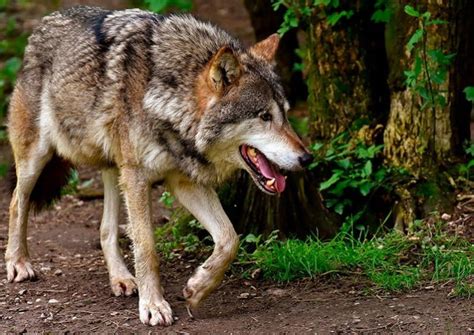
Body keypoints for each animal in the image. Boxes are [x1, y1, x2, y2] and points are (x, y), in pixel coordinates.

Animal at [6, 6, 312, 326]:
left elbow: (230, 239)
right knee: (17, 202)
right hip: (37, 158)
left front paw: (197, 289)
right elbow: (147, 247)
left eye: (286, 115)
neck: (169, 100)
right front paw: (153, 305)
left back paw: (121, 279)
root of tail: (45, 21)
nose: (307, 158)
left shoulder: (184, 181)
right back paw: (18, 263)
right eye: (264, 116)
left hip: (114, 169)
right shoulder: (139, 177)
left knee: (106, 229)